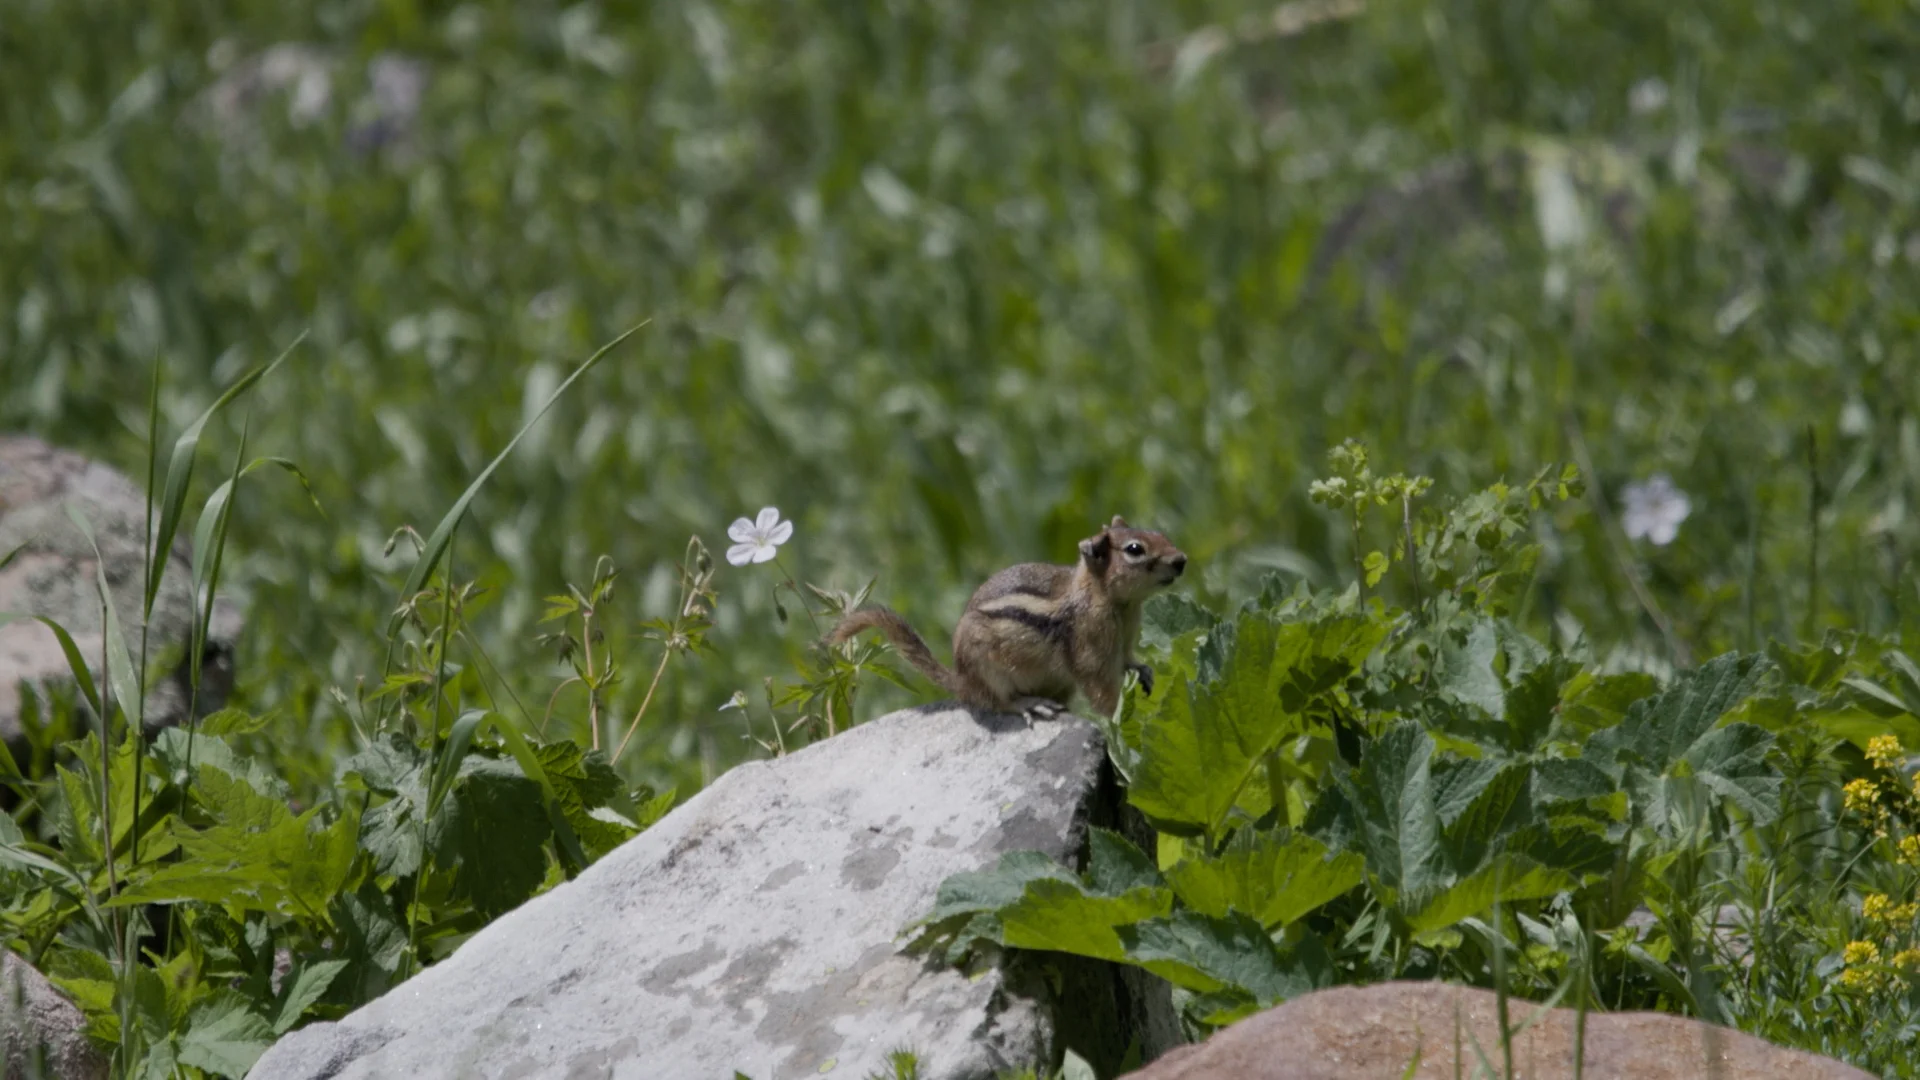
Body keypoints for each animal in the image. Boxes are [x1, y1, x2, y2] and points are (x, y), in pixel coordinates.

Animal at [827, 516, 1187, 720]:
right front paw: (1119, 723)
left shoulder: (1124, 641)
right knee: (997, 703)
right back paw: (1028, 705)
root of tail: (963, 681)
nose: (1181, 560)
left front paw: (1143, 670)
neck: (1118, 604)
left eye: (1160, 533)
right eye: (1135, 549)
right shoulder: (1091, 655)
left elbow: (1128, 659)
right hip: (987, 669)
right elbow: (1102, 693)